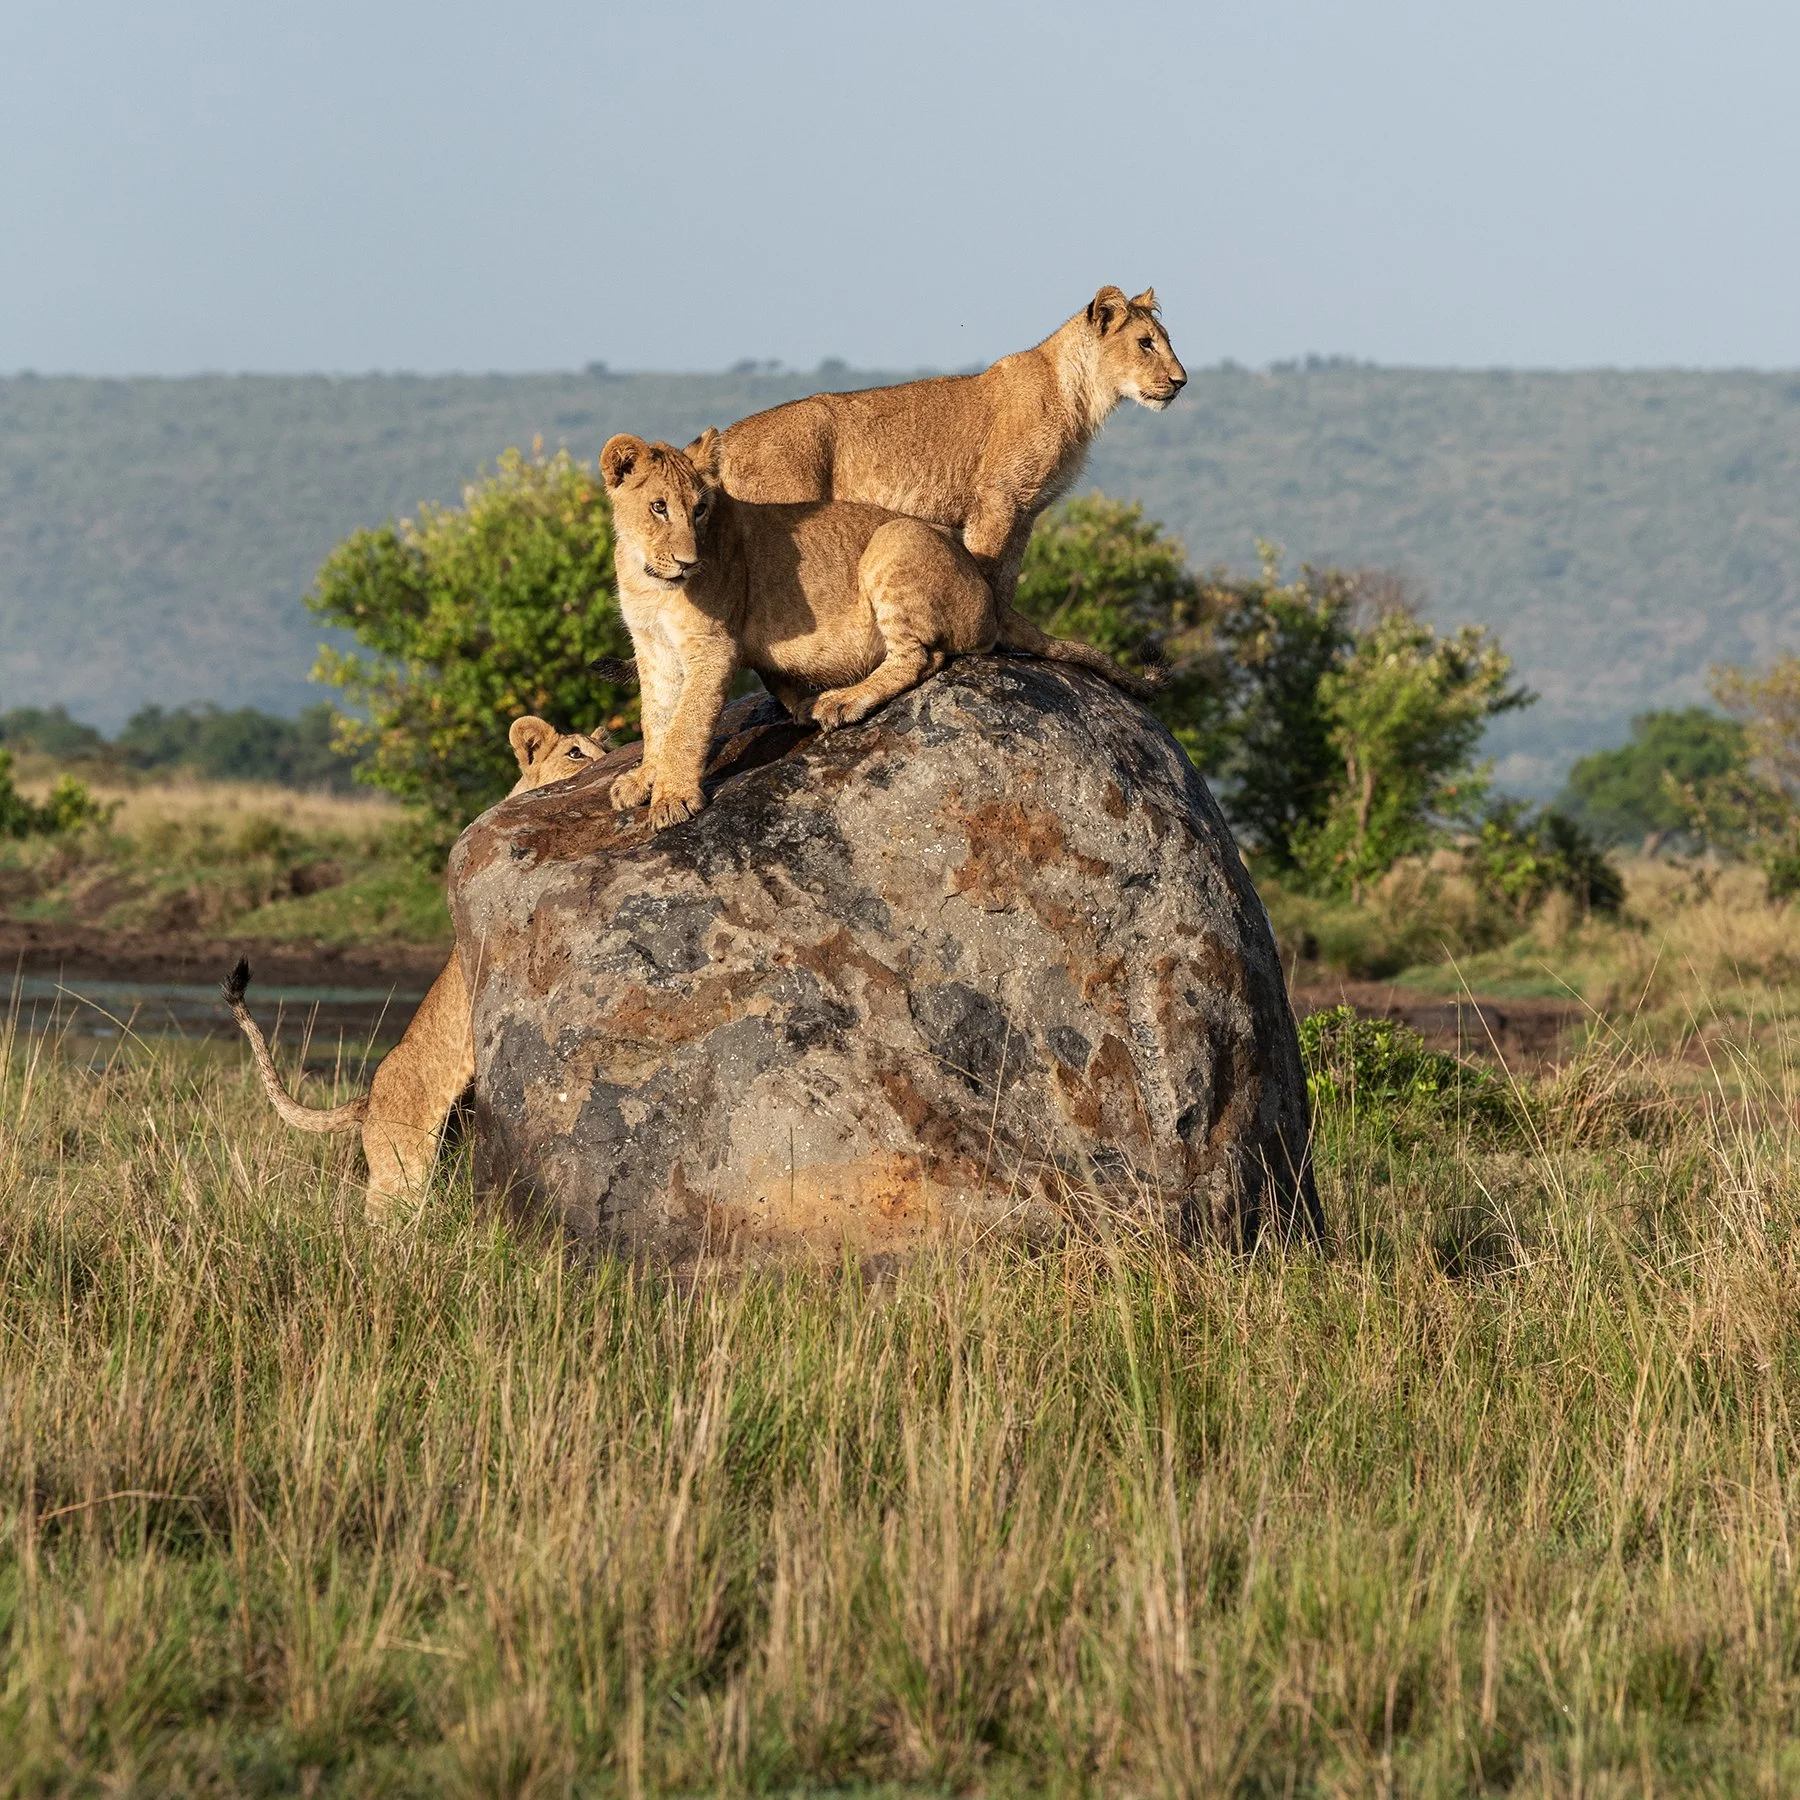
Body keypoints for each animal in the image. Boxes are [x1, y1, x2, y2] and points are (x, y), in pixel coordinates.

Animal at [599, 429, 1150, 831]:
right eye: (658, 507)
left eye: (700, 508)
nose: (690, 562)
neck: (648, 577)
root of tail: (989, 589)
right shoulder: (652, 648)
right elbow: (656, 717)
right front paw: (645, 777)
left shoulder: (712, 647)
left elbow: (687, 724)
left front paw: (672, 797)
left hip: (894, 538)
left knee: (921, 657)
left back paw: (840, 702)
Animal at [718, 285, 1185, 603]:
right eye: (1145, 343)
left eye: (1164, 339)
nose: (1181, 381)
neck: (1083, 400)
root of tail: (726, 438)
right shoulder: (996, 498)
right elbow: (988, 568)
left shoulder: (1027, 510)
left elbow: (1008, 577)